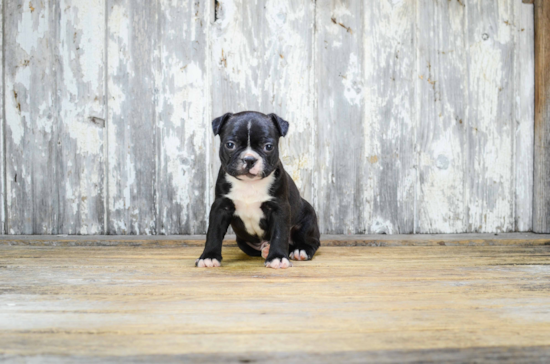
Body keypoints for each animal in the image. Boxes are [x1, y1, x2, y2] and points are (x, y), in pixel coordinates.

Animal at [197, 112, 322, 268]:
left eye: (268, 146)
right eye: (230, 144)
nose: (249, 159)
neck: (249, 183)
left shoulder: (279, 208)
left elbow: (279, 234)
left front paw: (277, 258)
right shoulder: (220, 207)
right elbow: (214, 232)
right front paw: (208, 257)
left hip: (308, 219)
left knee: (311, 241)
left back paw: (300, 250)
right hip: (243, 242)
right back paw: (266, 249)